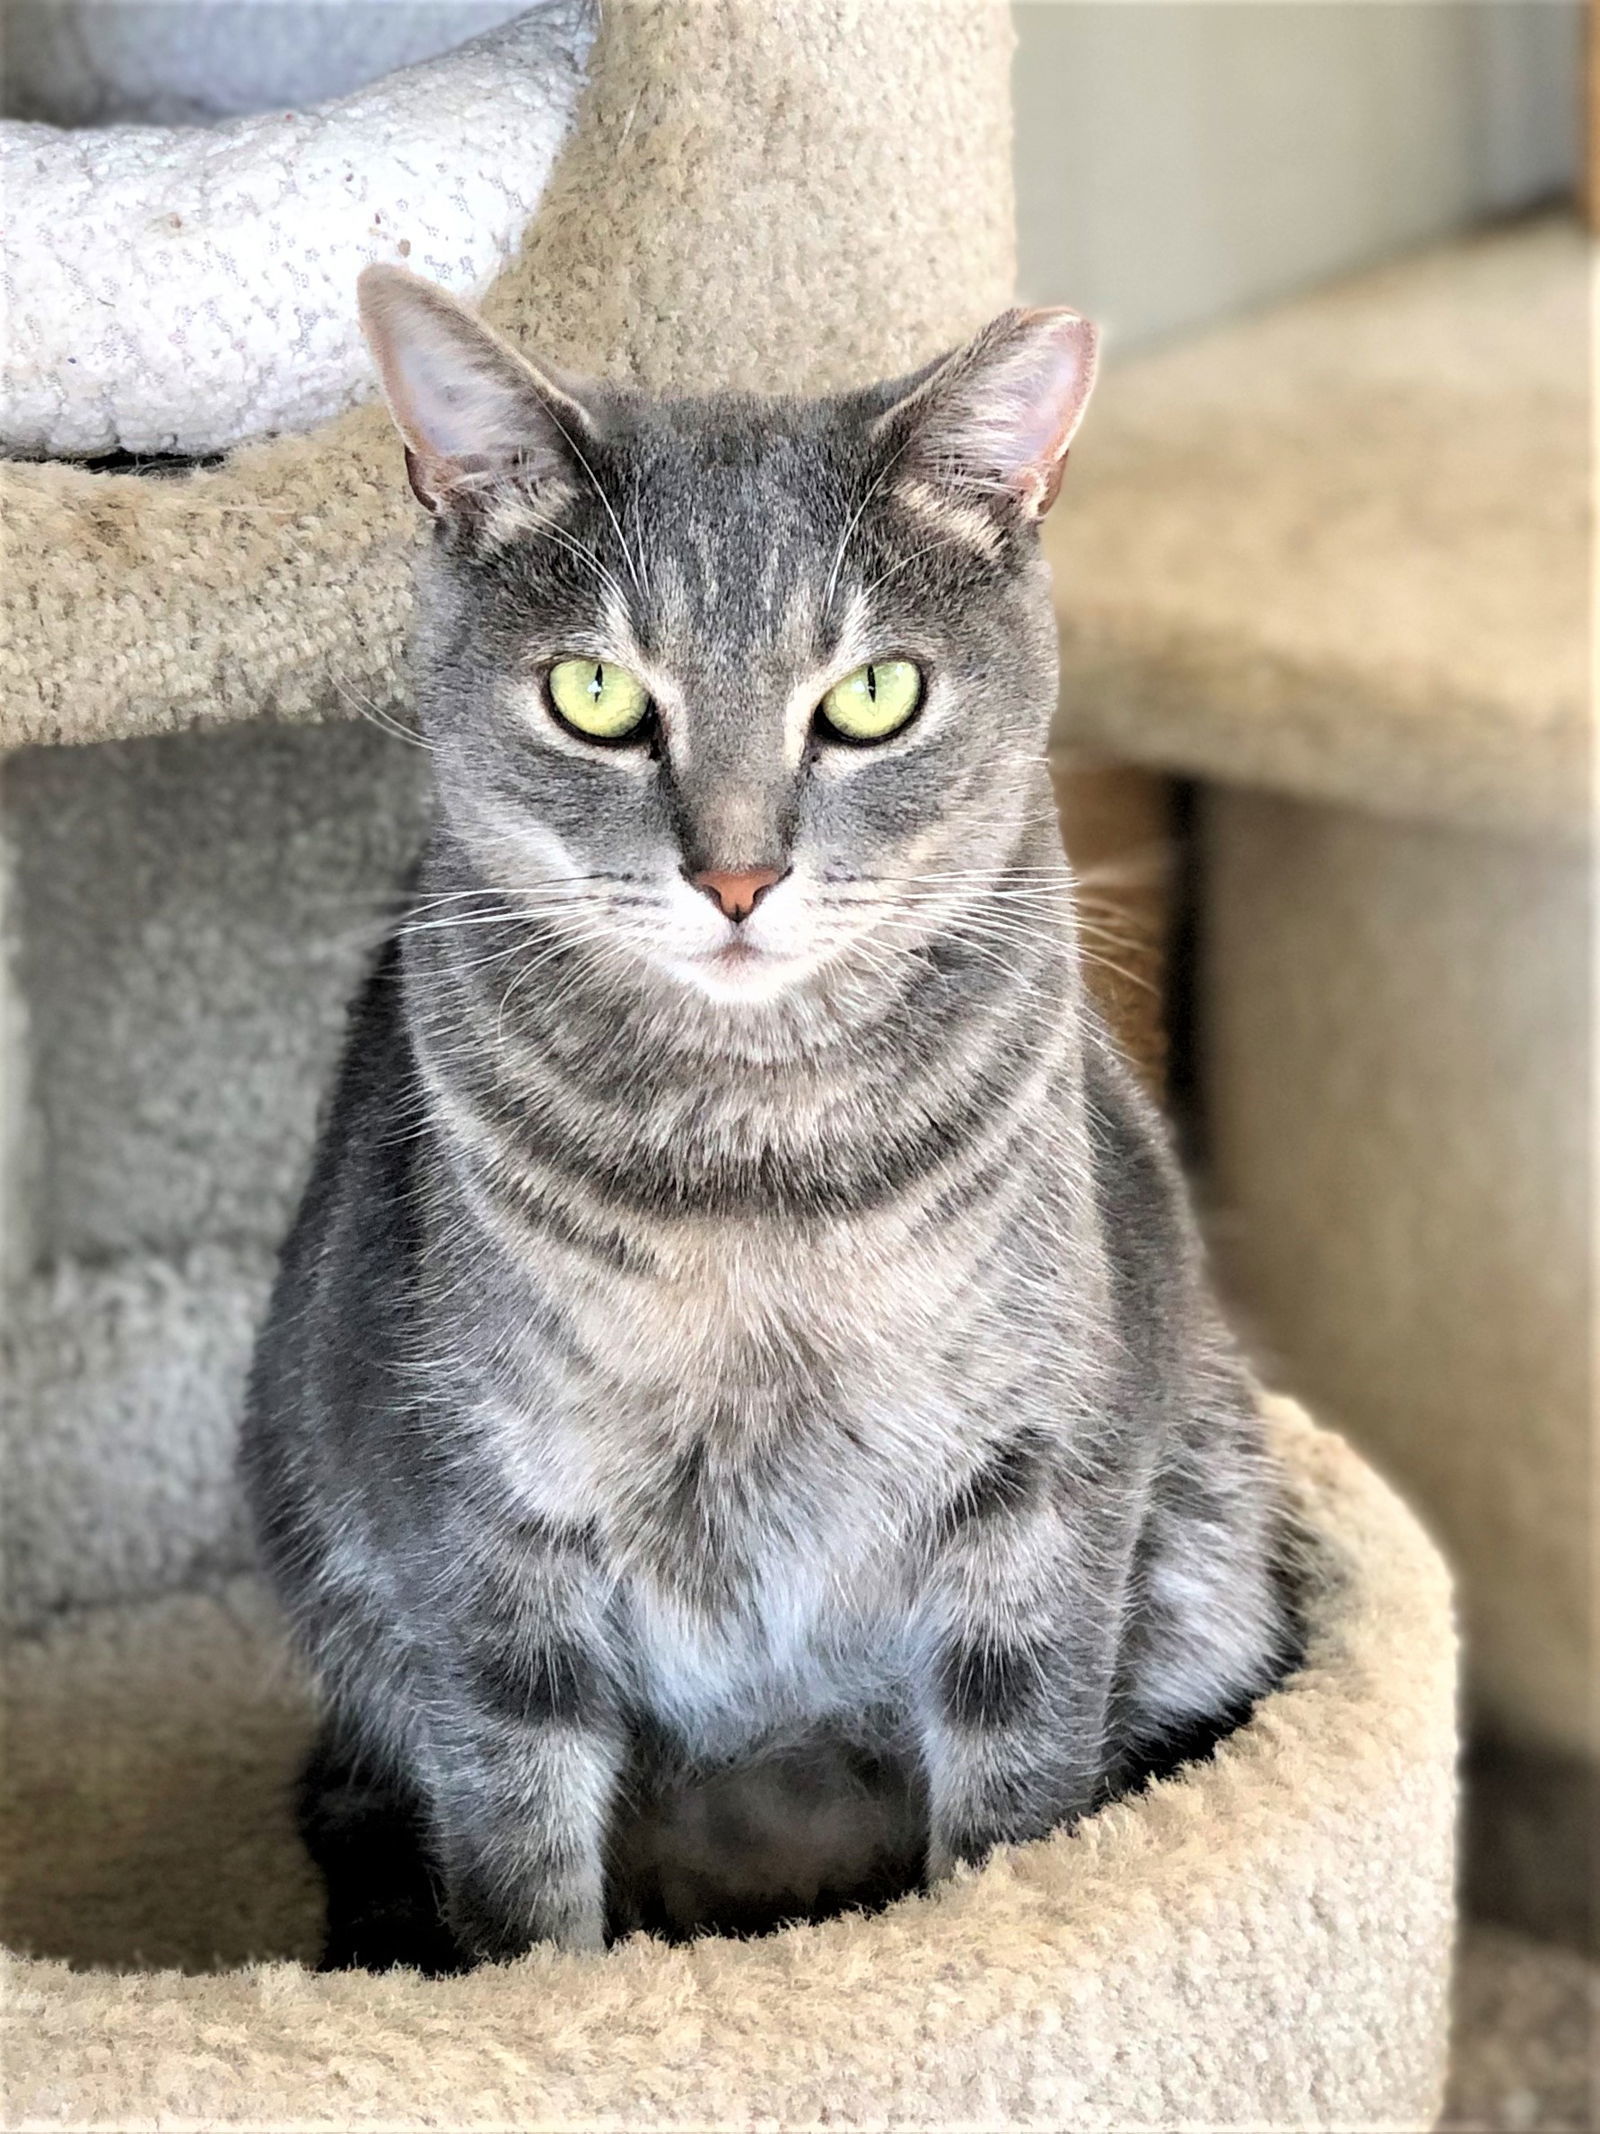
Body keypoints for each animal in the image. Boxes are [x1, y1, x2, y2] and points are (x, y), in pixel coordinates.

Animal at [247, 262, 1305, 1963]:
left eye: (873, 694)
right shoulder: (485, 1535)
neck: (763, 1177)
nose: (738, 875)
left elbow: (1013, 1808)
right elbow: (523, 1874)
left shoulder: (1039, 1498)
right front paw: (559, 1993)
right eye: (595, 693)